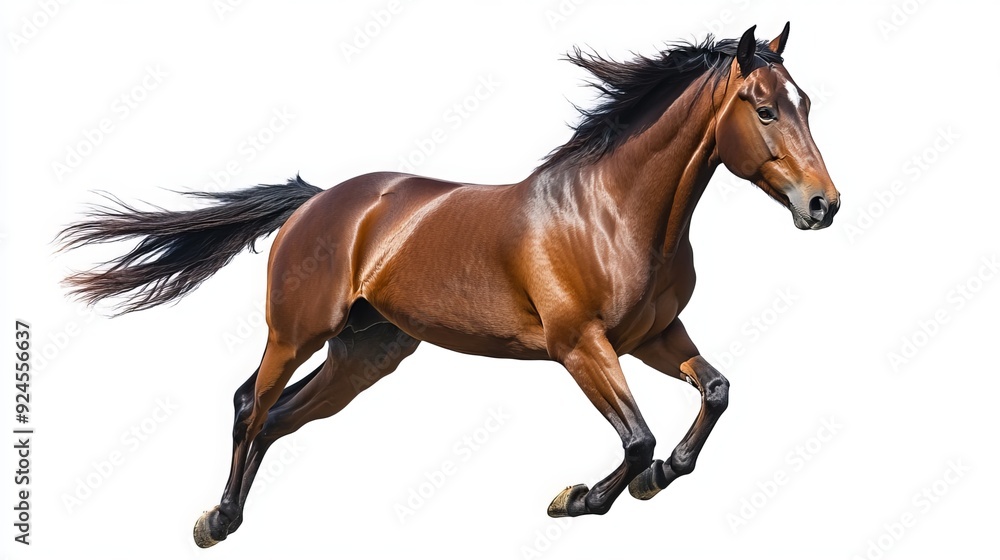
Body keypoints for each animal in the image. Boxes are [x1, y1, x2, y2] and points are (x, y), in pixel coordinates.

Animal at [59, 23, 839, 547]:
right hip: (296, 331)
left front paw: (659, 477)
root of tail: (317, 200)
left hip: (364, 355)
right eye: (765, 108)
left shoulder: (652, 336)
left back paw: (234, 517)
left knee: (278, 417)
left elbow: (715, 391)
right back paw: (215, 519)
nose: (823, 205)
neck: (611, 212)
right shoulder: (579, 345)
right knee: (251, 403)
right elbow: (637, 438)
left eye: (806, 103)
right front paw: (577, 499)